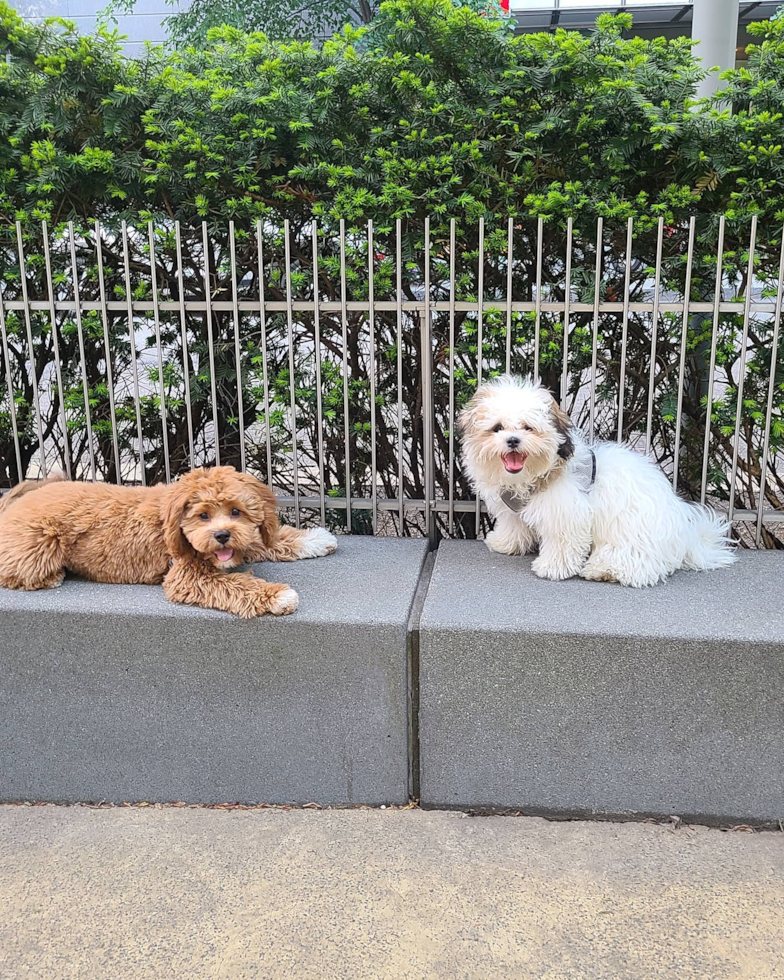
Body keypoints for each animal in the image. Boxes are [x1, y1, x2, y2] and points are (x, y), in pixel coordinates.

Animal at [0, 468, 336, 620]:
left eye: (236, 511)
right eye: (203, 515)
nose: (222, 535)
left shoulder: (239, 541)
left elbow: (262, 539)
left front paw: (316, 539)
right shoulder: (187, 574)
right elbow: (234, 585)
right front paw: (278, 595)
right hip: (37, 547)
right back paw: (53, 577)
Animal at [460, 378, 736, 588]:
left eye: (528, 427)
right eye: (497, 428)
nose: (513, 440)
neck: (534, 474)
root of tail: (687, 537)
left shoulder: (567, 511)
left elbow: (563, 542)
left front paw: (551, 567)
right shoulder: (512, 509)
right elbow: (513, 525)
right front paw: (504, 543)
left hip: (631, 535)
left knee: (638, 564)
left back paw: (605, 570)